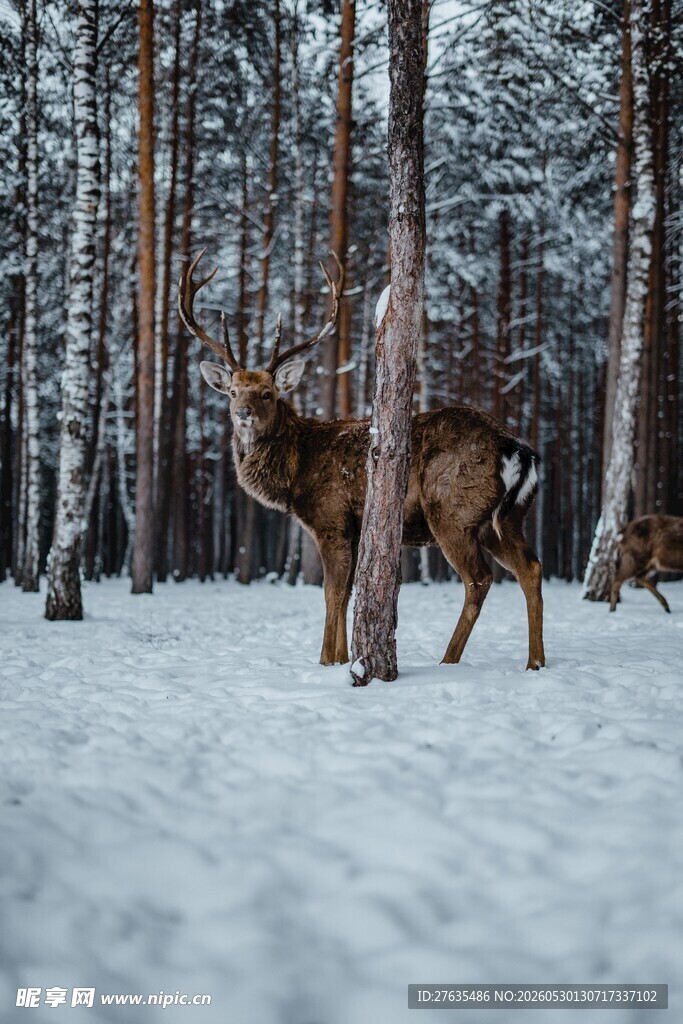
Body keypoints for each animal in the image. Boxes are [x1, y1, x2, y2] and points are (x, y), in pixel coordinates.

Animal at [179, 250, 545, 671]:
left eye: (268, 393)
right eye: (233, 391)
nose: (244, 413)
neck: (295, 474)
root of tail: (515, 448)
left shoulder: (331, 519)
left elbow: (332, 593)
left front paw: (326, 660)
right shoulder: (353, 530)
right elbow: (350, 592)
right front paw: (343, 658)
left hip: (453, 511)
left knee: (480, 579)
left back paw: (448, 660)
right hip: (506, 516)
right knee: (531, 568)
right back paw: (535, 662)